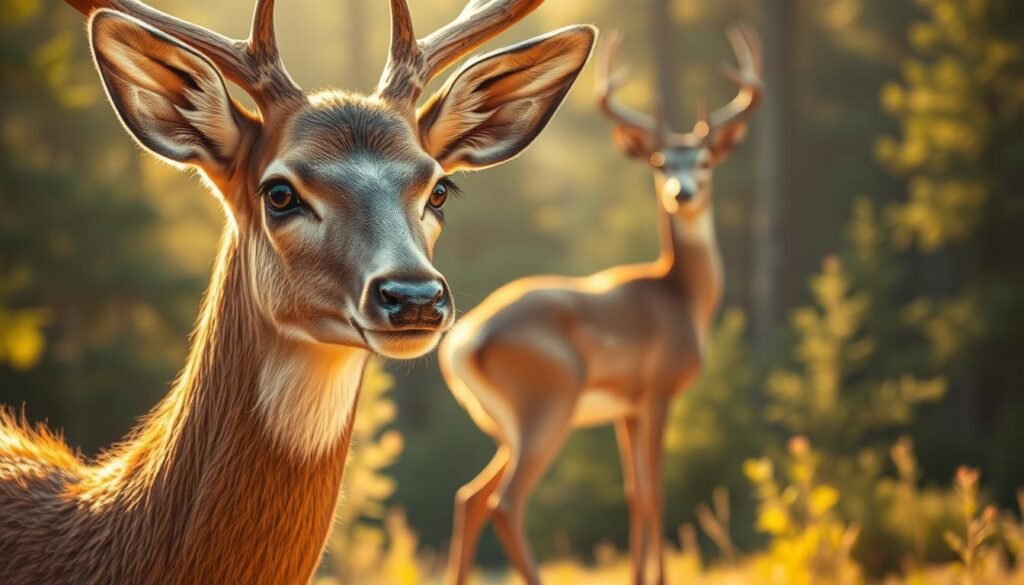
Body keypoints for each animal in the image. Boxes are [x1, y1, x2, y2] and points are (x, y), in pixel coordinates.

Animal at [438, 27, 762, 585]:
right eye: (660, 162)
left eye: (704, 161)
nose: (682, 192)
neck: (681, 296)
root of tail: (466, 339)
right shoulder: (657, 392)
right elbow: (656, 490)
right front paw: (658, 579)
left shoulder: (624, 409)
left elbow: (634, 492)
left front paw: (640, 577)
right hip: (549, 403)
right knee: (504, 501)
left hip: (508, 425)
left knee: (469, 496)